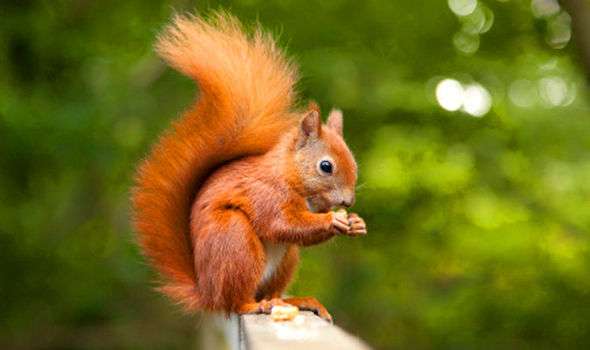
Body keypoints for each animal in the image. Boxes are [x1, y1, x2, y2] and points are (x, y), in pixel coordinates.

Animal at [132, 11, 368, 322]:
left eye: (353, 162)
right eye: (326, 166)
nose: (348, 202)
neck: (288, 174)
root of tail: (208, 293)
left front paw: (355, 222)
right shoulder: (265, 194)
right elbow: (282, 224)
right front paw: (333, 220)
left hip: (285, 260)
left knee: (271, 290)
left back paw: (296, 301)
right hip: (235, 241)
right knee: (237, 301)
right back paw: (255, 305)